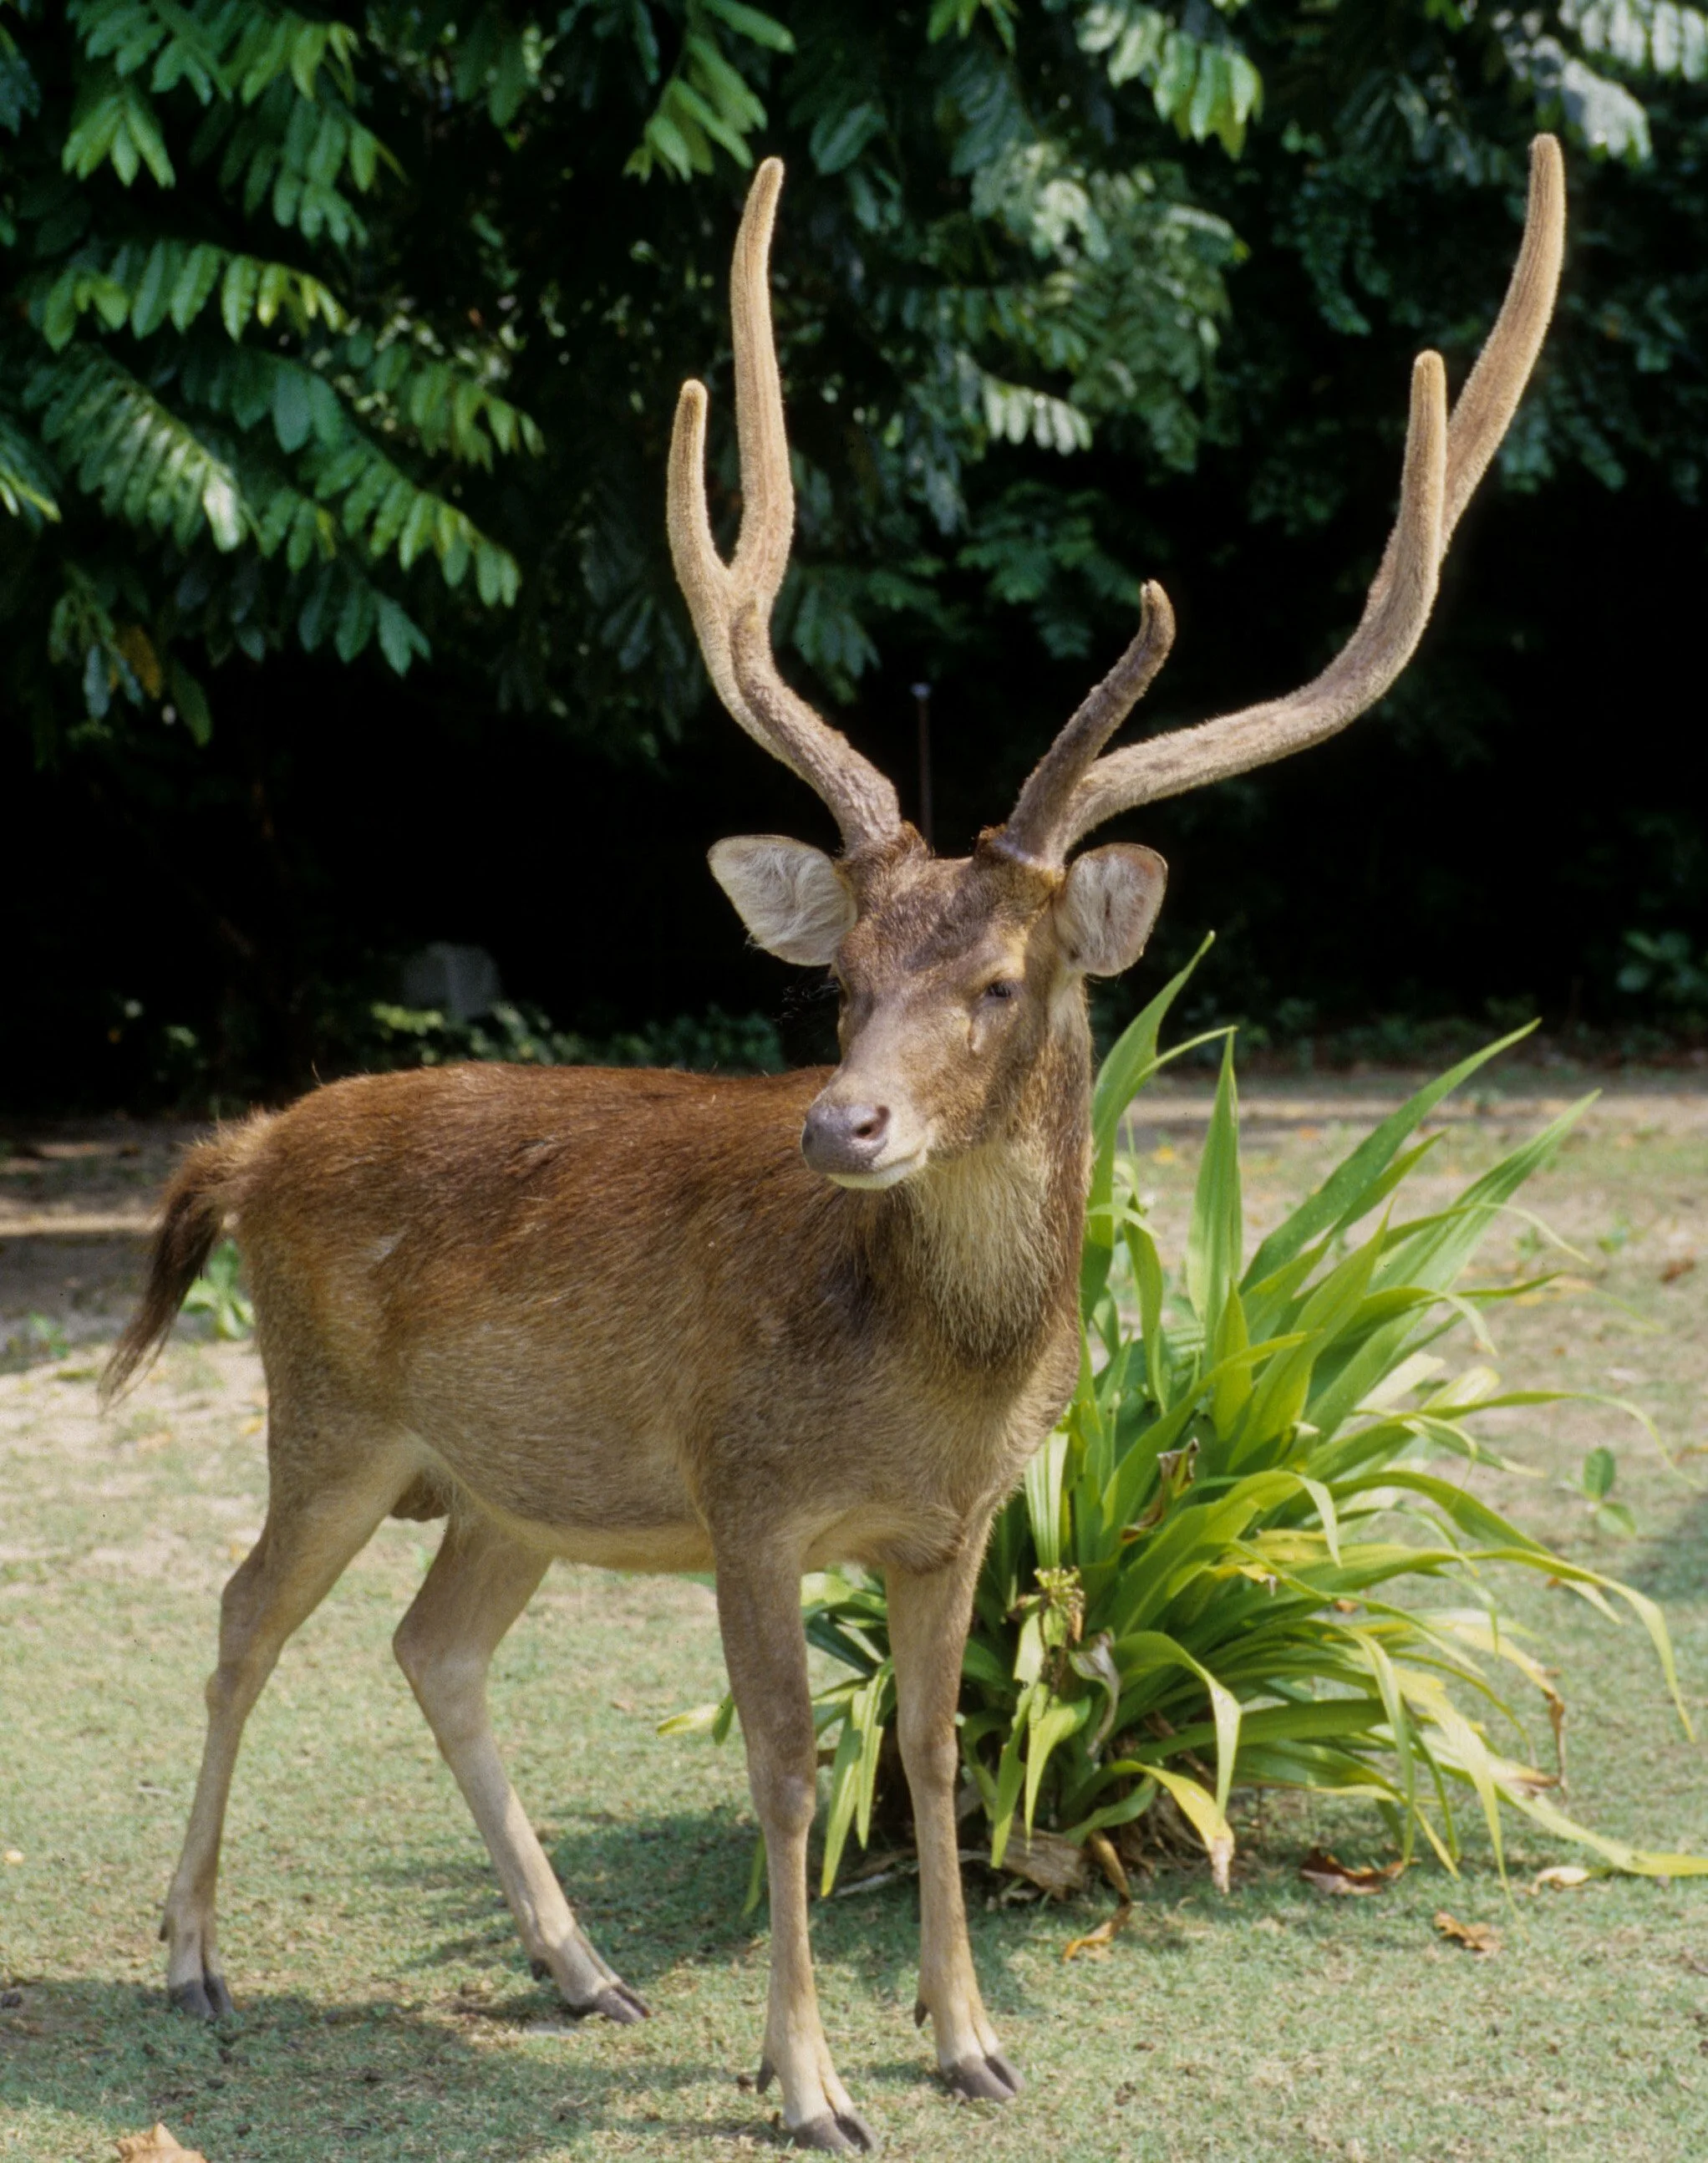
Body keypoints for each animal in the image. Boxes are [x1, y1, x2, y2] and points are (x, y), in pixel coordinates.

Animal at [104, 138, 1564, 2152]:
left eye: (1004, 978)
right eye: (842, 974)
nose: (839, 1118)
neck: (932, 1384)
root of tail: (243, 1147)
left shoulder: (957, 1528)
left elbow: (941, 1762)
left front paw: (967, 2037)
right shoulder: (746, 1495)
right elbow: (795, 1776)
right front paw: (806, 2081)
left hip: (501, 1481)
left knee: (431, 1643)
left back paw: (581, 1966)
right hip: (322, 1414)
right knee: (245, 1617)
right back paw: (189, 1953)